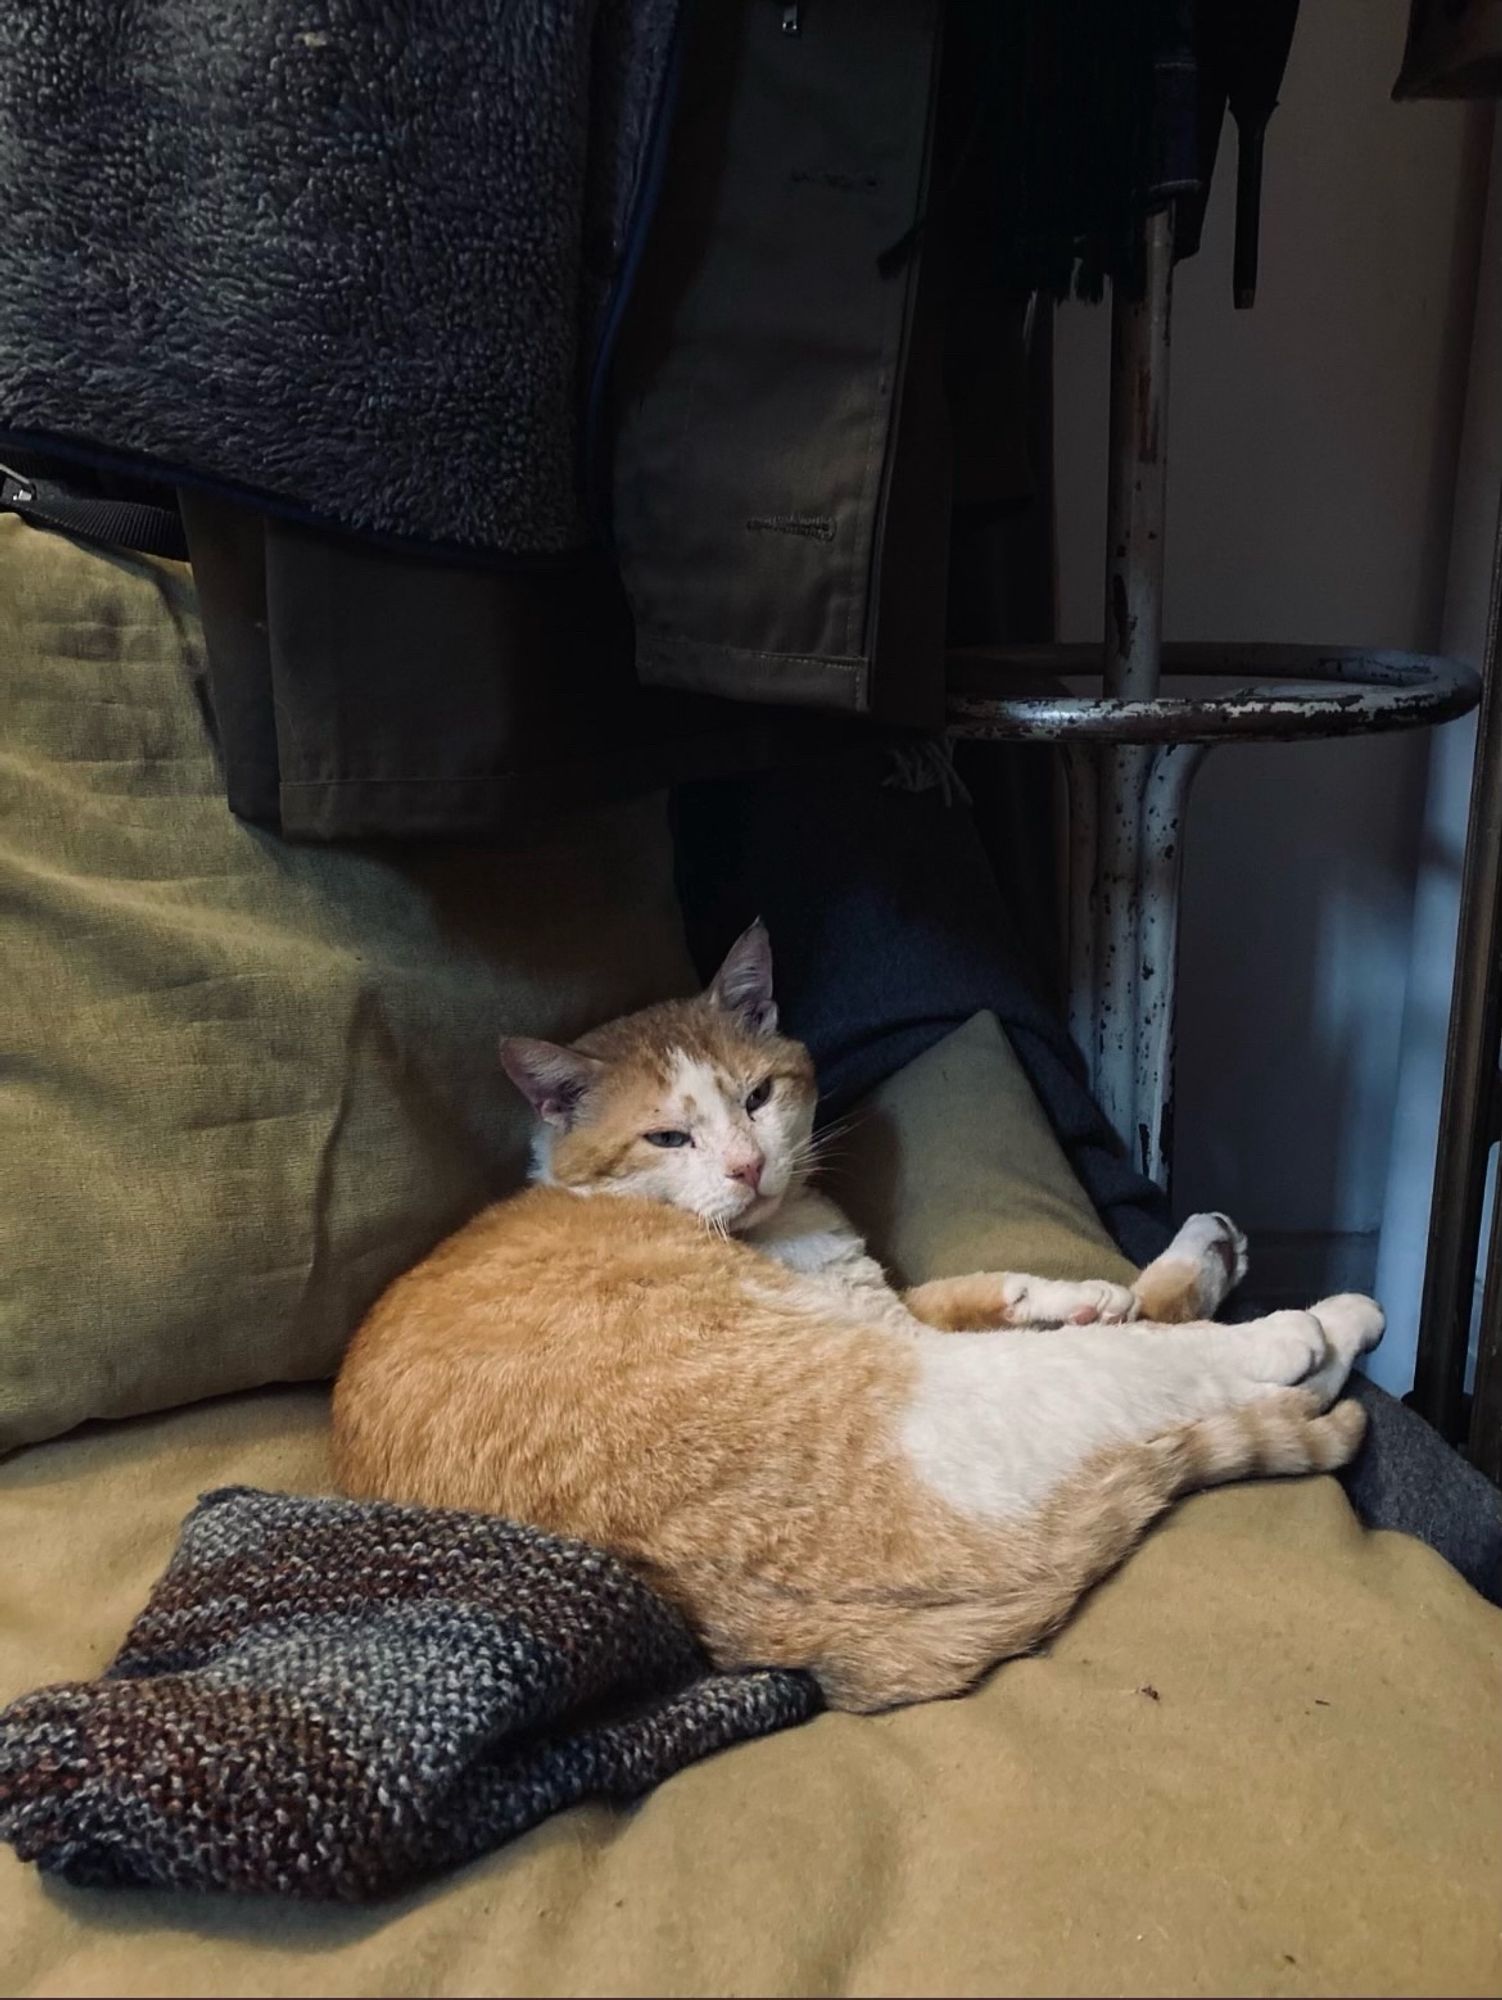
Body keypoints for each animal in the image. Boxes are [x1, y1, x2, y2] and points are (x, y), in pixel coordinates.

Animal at [332, 928, 1384, 1712]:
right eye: (669, 1136)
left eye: (759, 1097)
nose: (749, 1166)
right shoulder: (896, 1335)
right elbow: (1132, 1329)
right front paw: (1224, 1310)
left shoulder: (882, 1304)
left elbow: (982, 1289)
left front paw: (1070, 1292)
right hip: (984, 1401)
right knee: (1174, 1368)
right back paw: (1315, 1321)